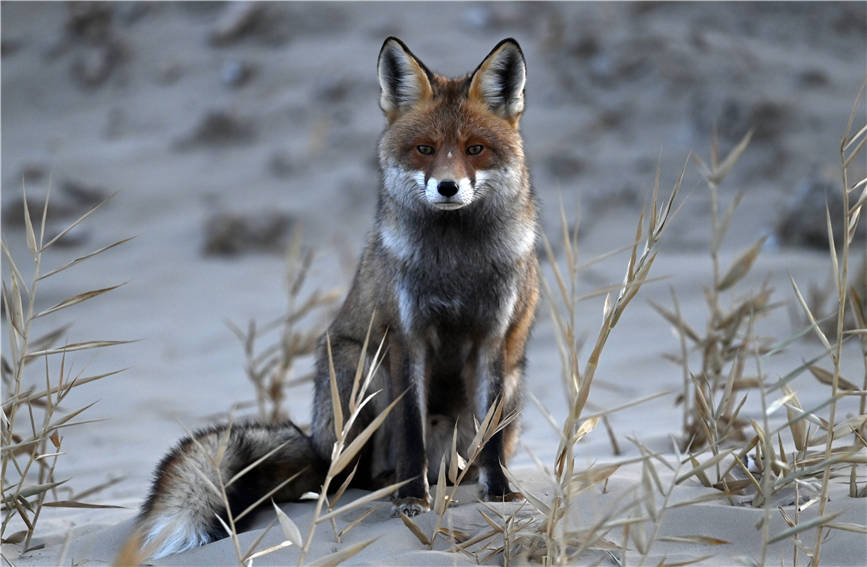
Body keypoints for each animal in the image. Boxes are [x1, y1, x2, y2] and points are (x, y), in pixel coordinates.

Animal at [135, 37, 540, 560]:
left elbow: (491, 443)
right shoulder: (406, 337)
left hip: (512, 379)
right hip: (360, 368)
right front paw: (411, 499)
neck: (455, 265)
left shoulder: (493, 338)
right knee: (351, 477)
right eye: (425, 150)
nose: (448, 186)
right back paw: (387, 483)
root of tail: (317, 445)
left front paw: (500, 495)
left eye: (475, 150)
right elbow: (409, 430)